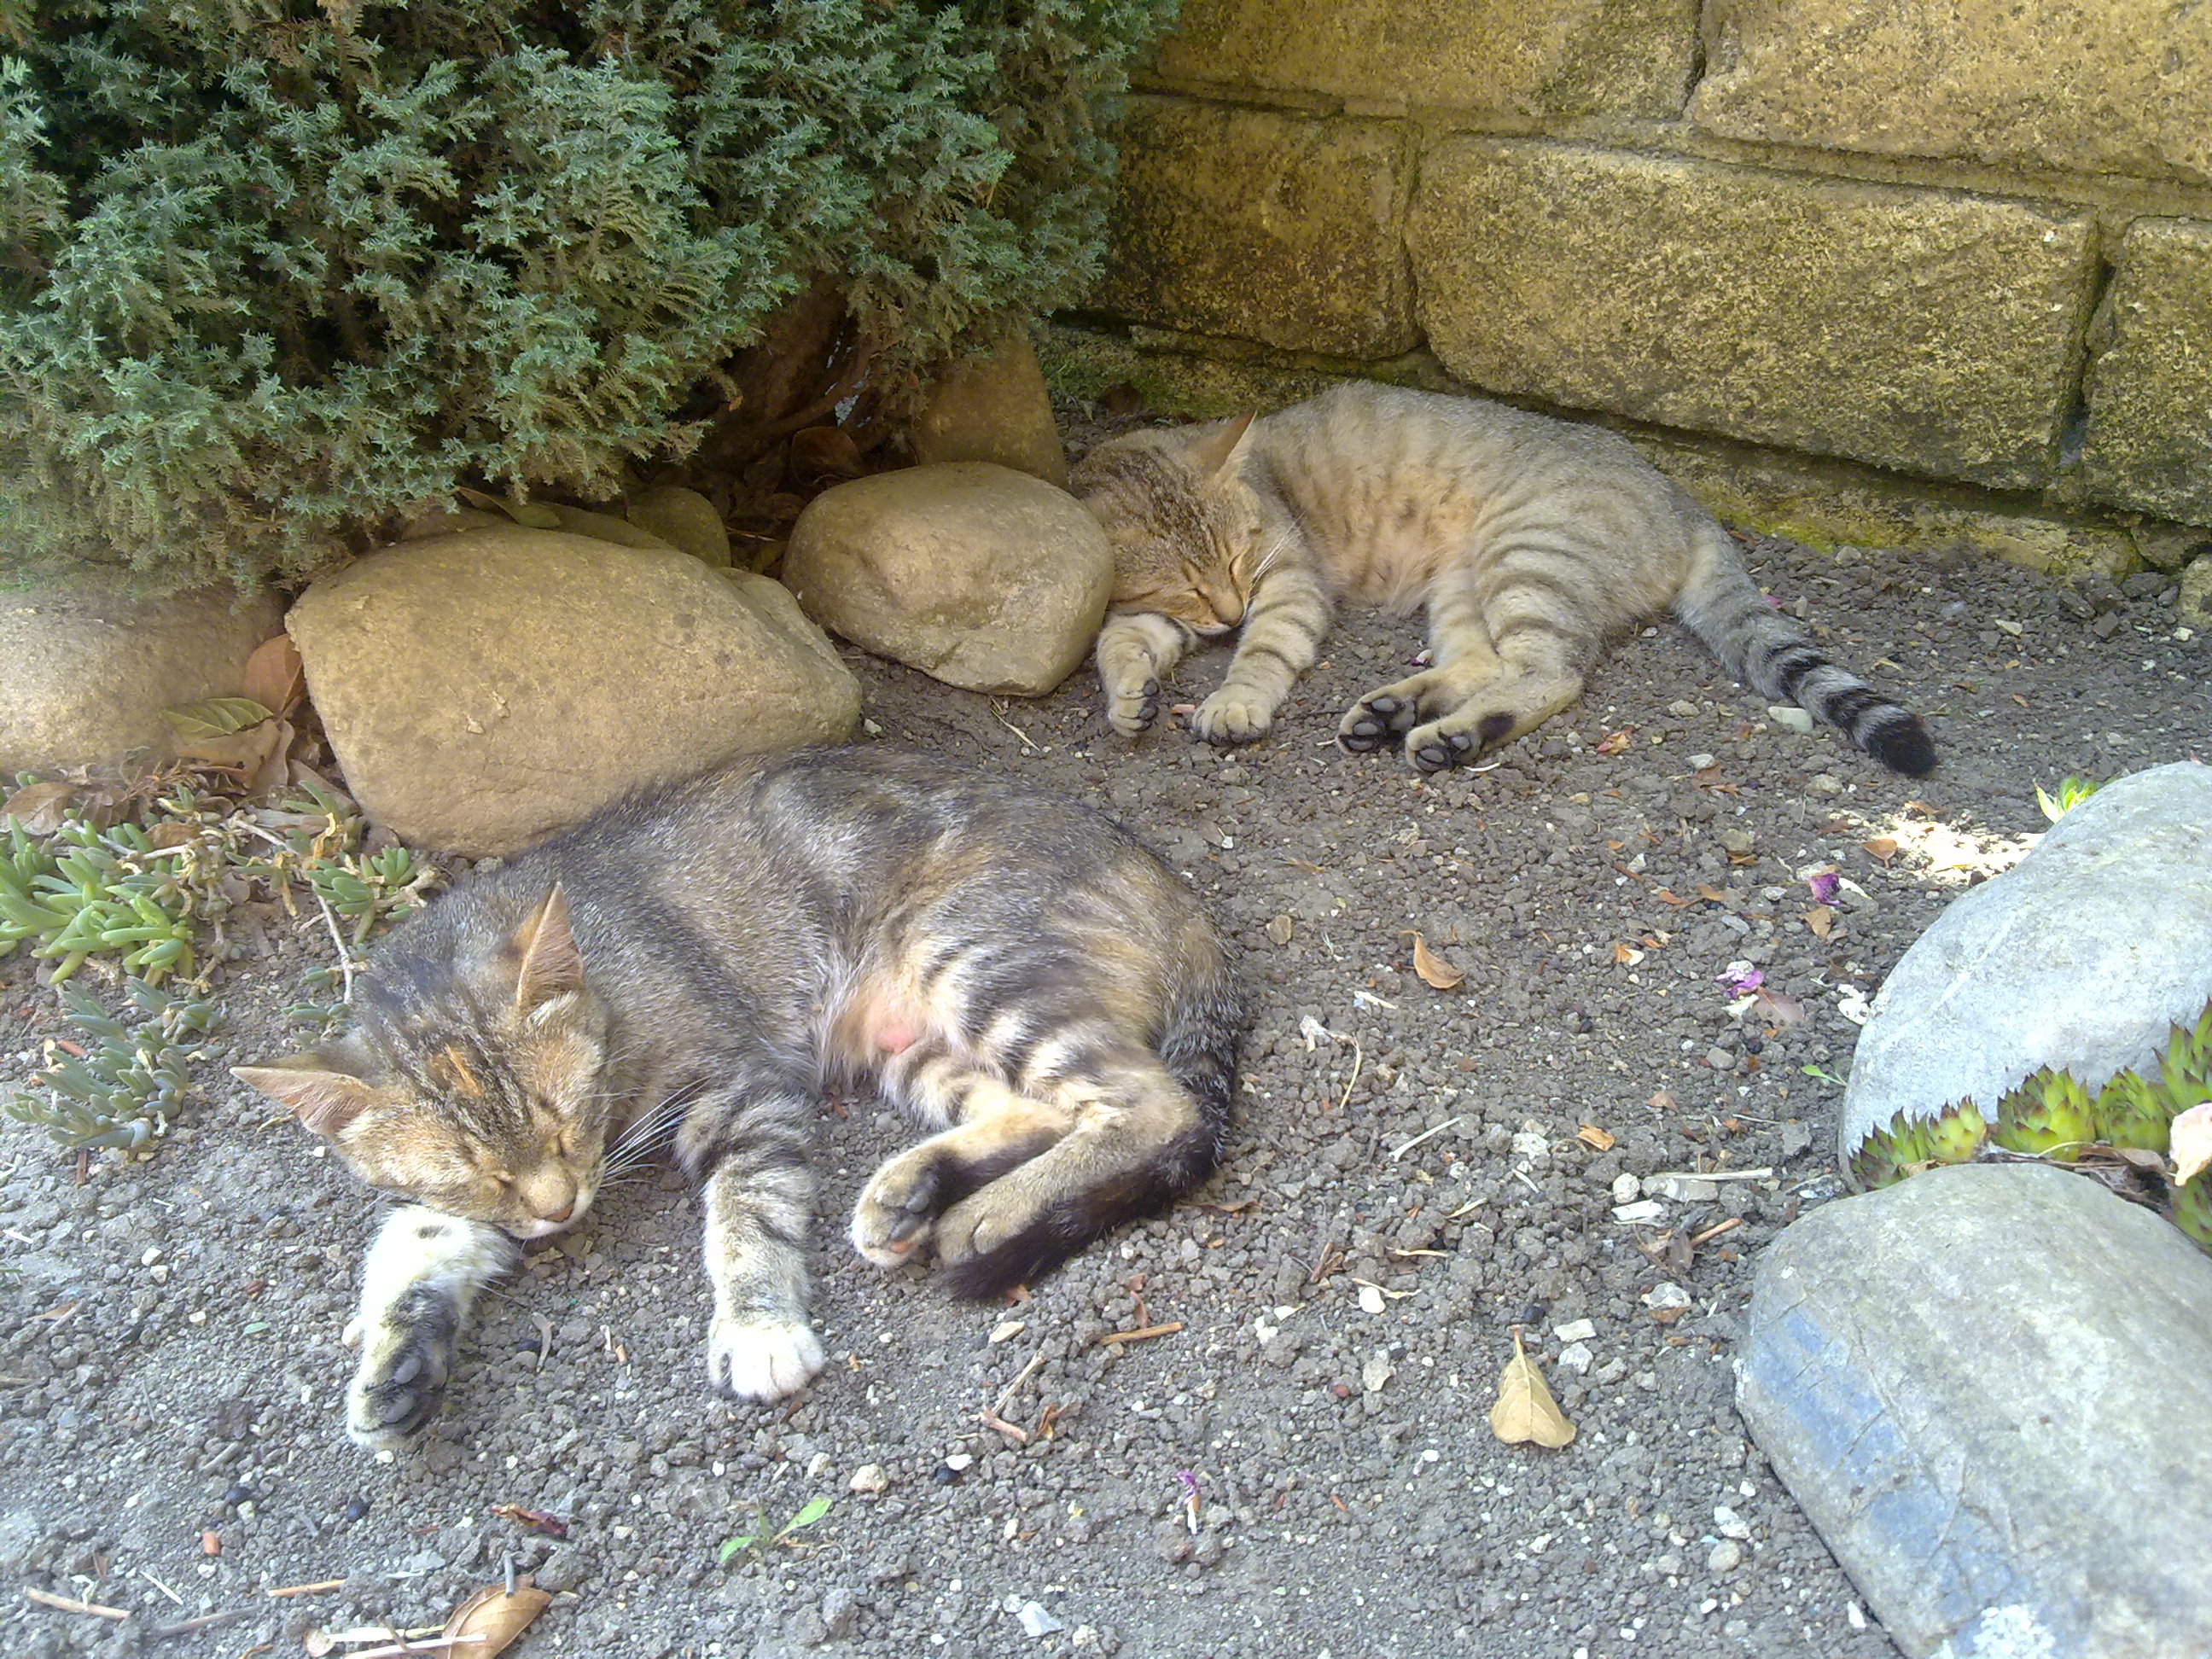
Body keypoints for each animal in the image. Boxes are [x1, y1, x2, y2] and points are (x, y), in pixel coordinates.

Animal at [234, 745, 1240, 1449]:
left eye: (567, 1123)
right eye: (474, 1173)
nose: (559, 1211)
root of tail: (1176, 888)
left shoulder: (744, 1090)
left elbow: (747, 1216)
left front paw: (758, 1328)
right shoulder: (454, 1206)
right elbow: (409, 1248)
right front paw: (393, 1369)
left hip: (980, 963)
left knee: (1153, 1103)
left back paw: (989, 1214)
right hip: (916, 1047)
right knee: (1042, 1109)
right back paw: (911, 1194)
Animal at [1074, 380, 1935, 778]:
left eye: (1238, 557)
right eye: (1189, 585)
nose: (1227, 609)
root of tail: (1683, 500)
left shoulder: (1289, 580)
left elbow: (1263, 651)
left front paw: (1234, 700)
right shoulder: (1150, 610)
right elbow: (1119, 643)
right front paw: (1129, 699)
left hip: (1527, 556)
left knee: (1554, 673)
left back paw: (1444, 734)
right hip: (1467, 585)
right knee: (1488, 665)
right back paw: (1398, 714)